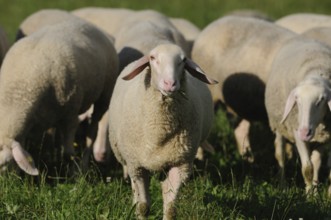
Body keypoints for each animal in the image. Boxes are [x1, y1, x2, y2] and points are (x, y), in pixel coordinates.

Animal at [0, 17, 119, 175]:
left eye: (3, 164)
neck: (18, 94)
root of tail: (89, 24)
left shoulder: (71, 115)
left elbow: (68, 153)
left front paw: (74, 175)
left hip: (104, 96)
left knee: (92, 132)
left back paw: (84, 165)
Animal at [109, 43, 218, 219]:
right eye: (153, 58)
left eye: (183, 60)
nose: (170, 84)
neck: (159, 130)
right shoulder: (136, 164)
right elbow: (143, 206)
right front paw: (139, 212)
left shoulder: (180, 163)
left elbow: (171, 207)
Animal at [191, 15, 296, 164]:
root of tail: (213, 24)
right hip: (210, 94)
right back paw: (200, 158)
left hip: (241, 103)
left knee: (241, 131)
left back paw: (247, 159)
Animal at [268, 36, 331, 196]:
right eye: (297, 101)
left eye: (321, 101)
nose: (305, 132)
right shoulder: (296, 131)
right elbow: (307, 169)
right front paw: (309, 197)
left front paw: (325, 195)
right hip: (279, 126)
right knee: (280, 154)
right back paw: (283, 186)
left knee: (317, 161)